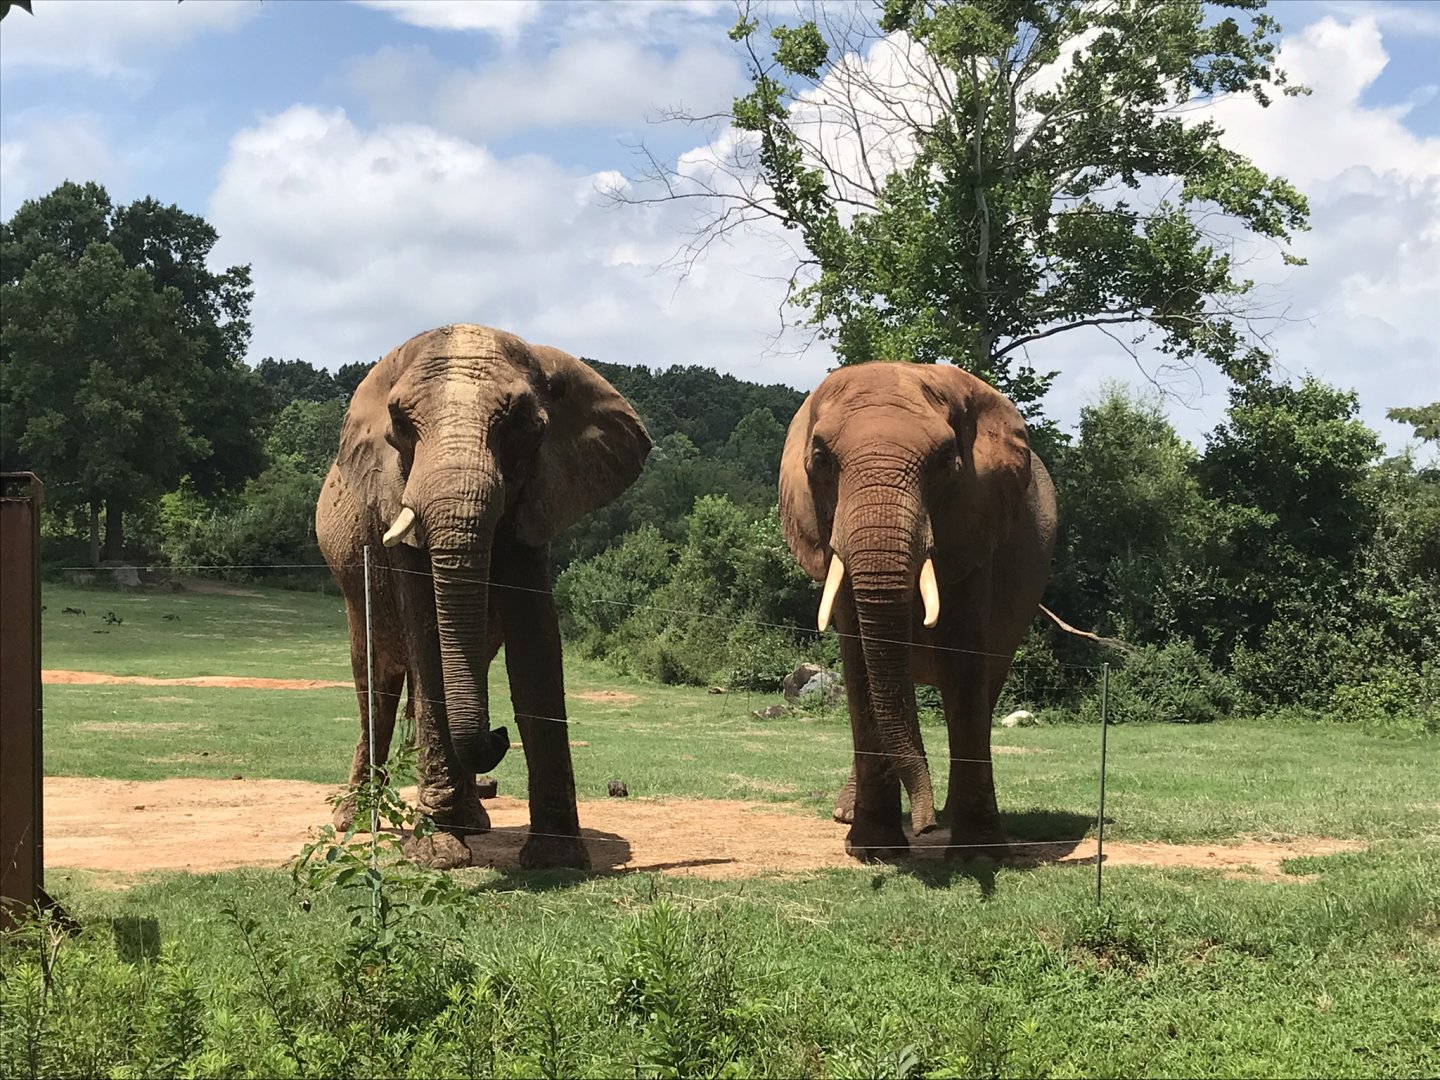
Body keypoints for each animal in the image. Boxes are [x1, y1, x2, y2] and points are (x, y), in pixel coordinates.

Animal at [316, 324, 651, 870]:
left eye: (520, 424)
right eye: (399, 423)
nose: (498, 736)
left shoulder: (540, 499)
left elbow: (536, 640)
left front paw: (556, 859)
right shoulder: (393, 501)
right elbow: (427, 636)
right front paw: (438, 853)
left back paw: (471, 821)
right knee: (377, 682)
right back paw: (356, 822)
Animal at [778, 361, 1056, 862]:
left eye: (946, 461)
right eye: (822, 459)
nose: (925, 825)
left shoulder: (974, 525)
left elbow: (964, 660)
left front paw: (978, 854)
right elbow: (858, 660)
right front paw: (874, 850)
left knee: (986, 685)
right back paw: (850, 815)